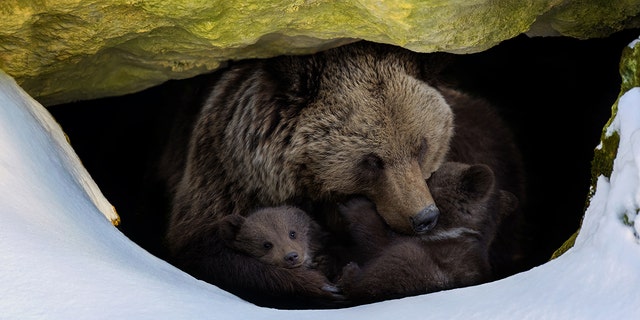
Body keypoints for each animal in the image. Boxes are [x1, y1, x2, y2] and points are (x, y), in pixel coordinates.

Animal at [338, 162, 516, 304]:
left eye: (433, 173)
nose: (425, 175)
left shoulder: (424, 244)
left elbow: (376, 237)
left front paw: (354, 203)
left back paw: (348, 274)